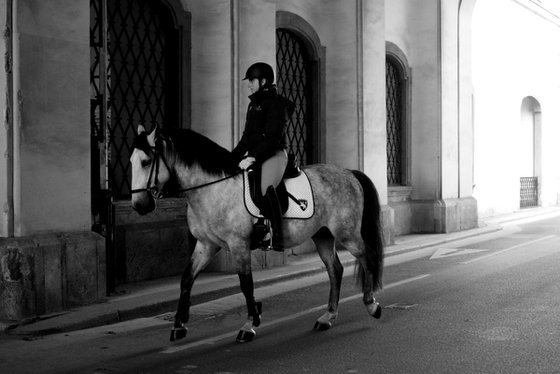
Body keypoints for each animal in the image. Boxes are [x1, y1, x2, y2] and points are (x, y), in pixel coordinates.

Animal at [130, 125, 384, 342]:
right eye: (131, 160)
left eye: (146, 161)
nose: (139, 205)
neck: (213, 188)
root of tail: (349, 172)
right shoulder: (206, 245)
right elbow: (186, 279)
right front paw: (179, 325)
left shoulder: (239, 245)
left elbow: (246, 283)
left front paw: (249, 324)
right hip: (322, 235)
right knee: (335, 270)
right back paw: (328, 317)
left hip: (347, 233)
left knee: (367, 257)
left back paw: (372, 304)